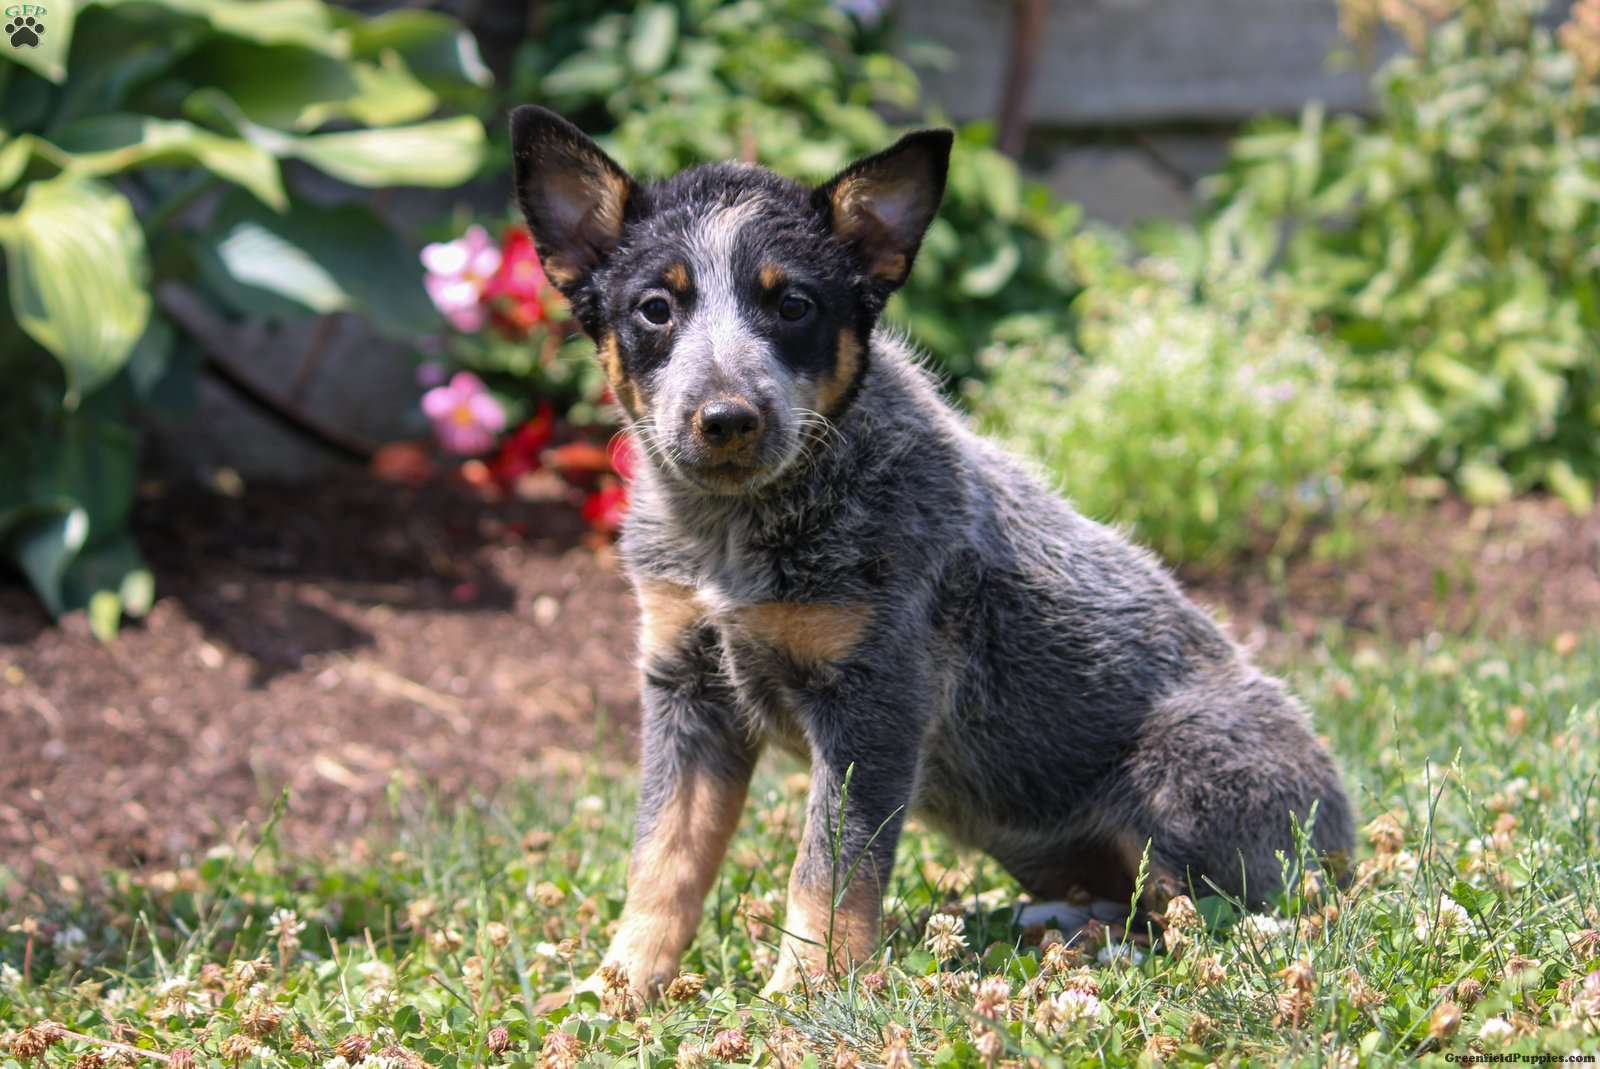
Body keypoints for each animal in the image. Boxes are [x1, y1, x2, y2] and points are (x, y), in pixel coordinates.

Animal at [508, 108, 1350, 1004]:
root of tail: (1349, 838)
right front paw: (617, 984)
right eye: (656, 308)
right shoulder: (687, 687)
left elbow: (829, 868)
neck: (732, 531)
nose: (727, 417)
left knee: (1217, 911)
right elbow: (663, 858)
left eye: (794, 304)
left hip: (1181, 774)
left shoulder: (877, 698)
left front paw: (803, 993)